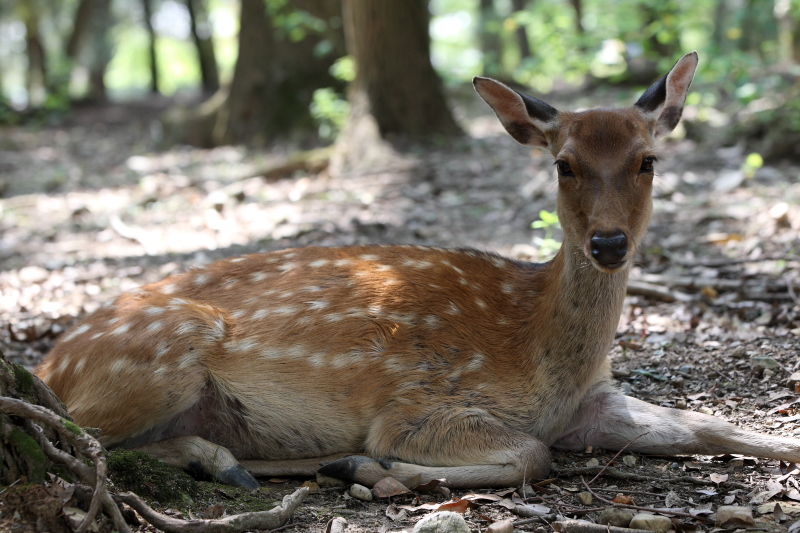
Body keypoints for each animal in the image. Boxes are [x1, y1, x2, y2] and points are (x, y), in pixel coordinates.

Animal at [32, 52, 800, 488]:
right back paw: (238, 460)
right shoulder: (416, 401)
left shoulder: (594, 401)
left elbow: (713, 427)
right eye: (564, 163)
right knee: (81, 435)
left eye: (648, 160)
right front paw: (378, 467)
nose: (609, 242)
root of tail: (45, 364)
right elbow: (531, 454)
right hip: (160, 352)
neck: (541, 350)